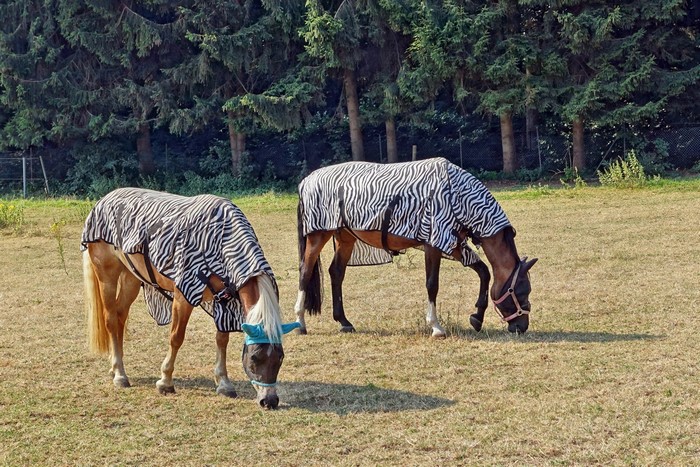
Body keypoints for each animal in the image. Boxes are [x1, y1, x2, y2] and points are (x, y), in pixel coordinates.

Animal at [81, 188, 299, 409]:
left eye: (280, 358)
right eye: (254, 358)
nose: (269, 401)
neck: (220, 240)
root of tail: (103, 200)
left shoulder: (223, 303)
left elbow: (222, 339)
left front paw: (224, 383)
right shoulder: (183, 296)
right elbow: (176, 337)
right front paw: (165, 381)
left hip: (131, 277)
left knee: (120, 315)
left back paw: (115, 366)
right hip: (107, 275)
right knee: (110, 319)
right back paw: (119, 374)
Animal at [294, 157, 537, 337]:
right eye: (522, 291)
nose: (522, 326)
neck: (456, 195)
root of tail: (306, 181)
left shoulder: (453, 243)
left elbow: (484, 272)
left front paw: (477, 317)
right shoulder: (434, 243)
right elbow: (432, 284)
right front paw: (436, 327)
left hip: (345, 238)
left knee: (336, 273)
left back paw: (344, 321)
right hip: (317, 237)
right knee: (305, 272)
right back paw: (300, 323)